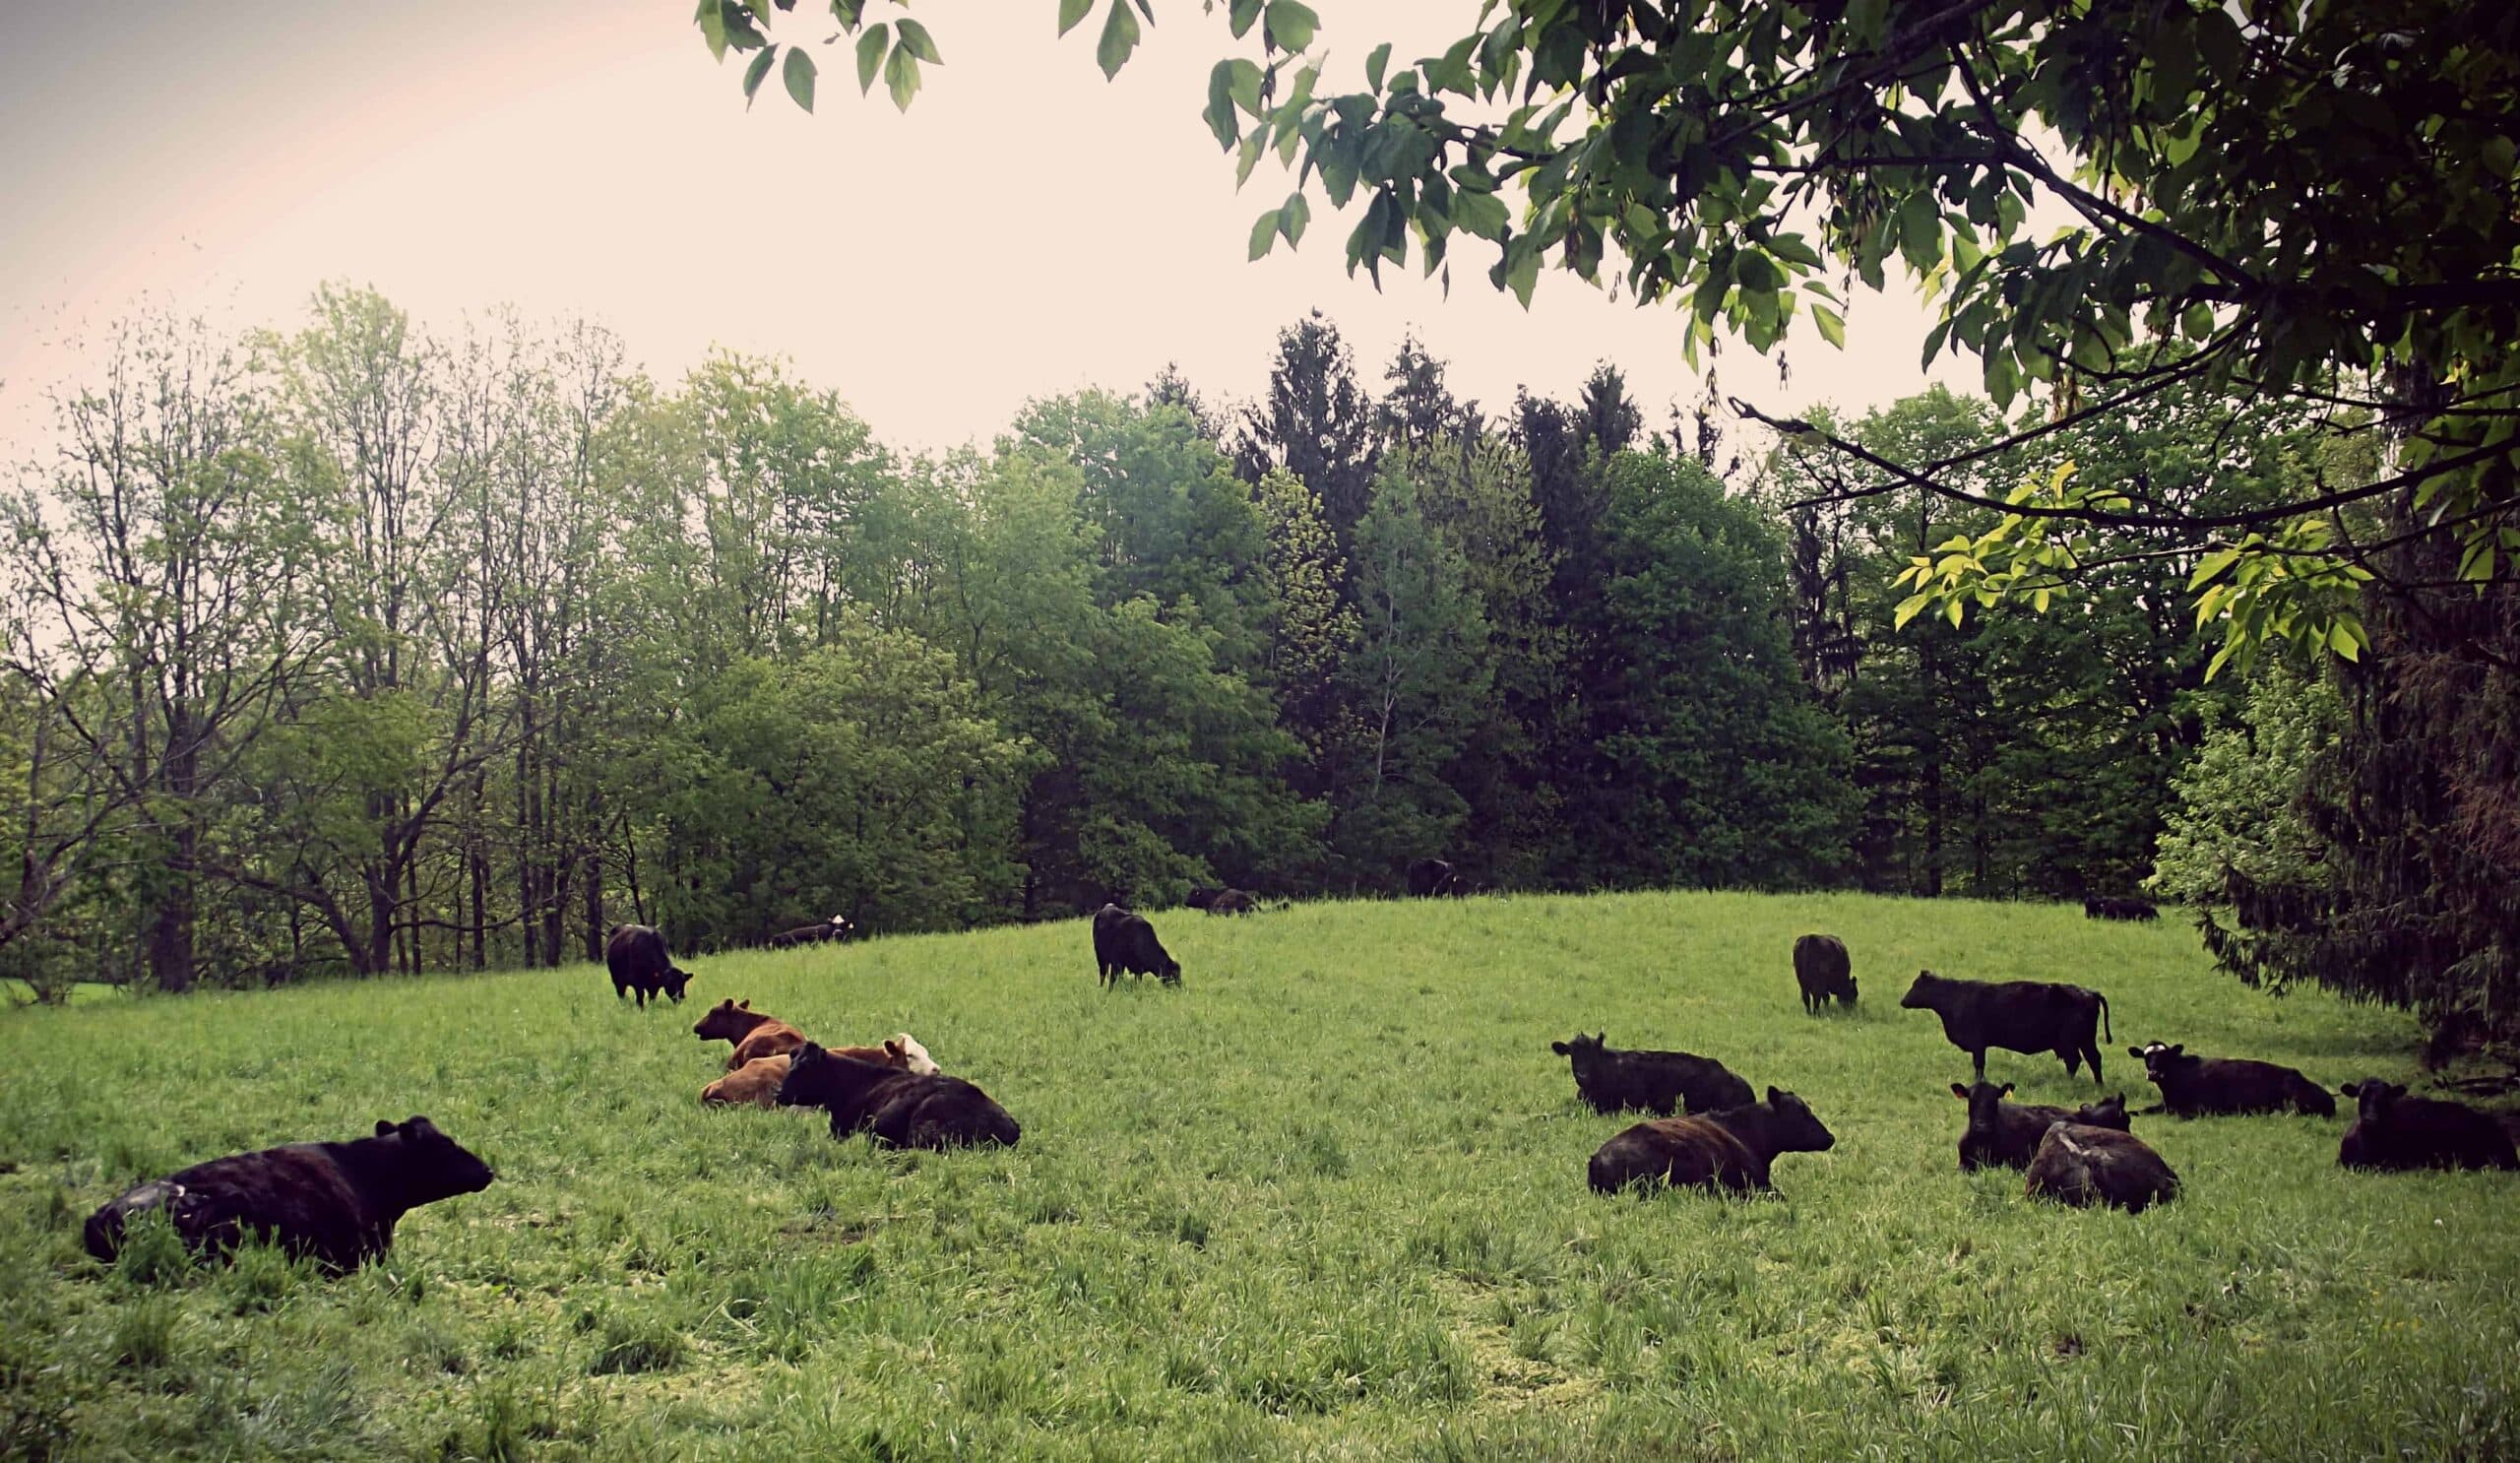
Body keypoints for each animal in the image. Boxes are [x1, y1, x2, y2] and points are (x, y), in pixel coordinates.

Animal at [1900, 970, 2112, 1083]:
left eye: (1915, 985)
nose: (1902, 1001)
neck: (1955, 997)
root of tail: (2090, 992)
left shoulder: (1978, 1043)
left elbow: (1979, 1064)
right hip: (2086, 1040)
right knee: (2094, 1059)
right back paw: (2098, 1084)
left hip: (2071, 1041)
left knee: (2075, 1060)